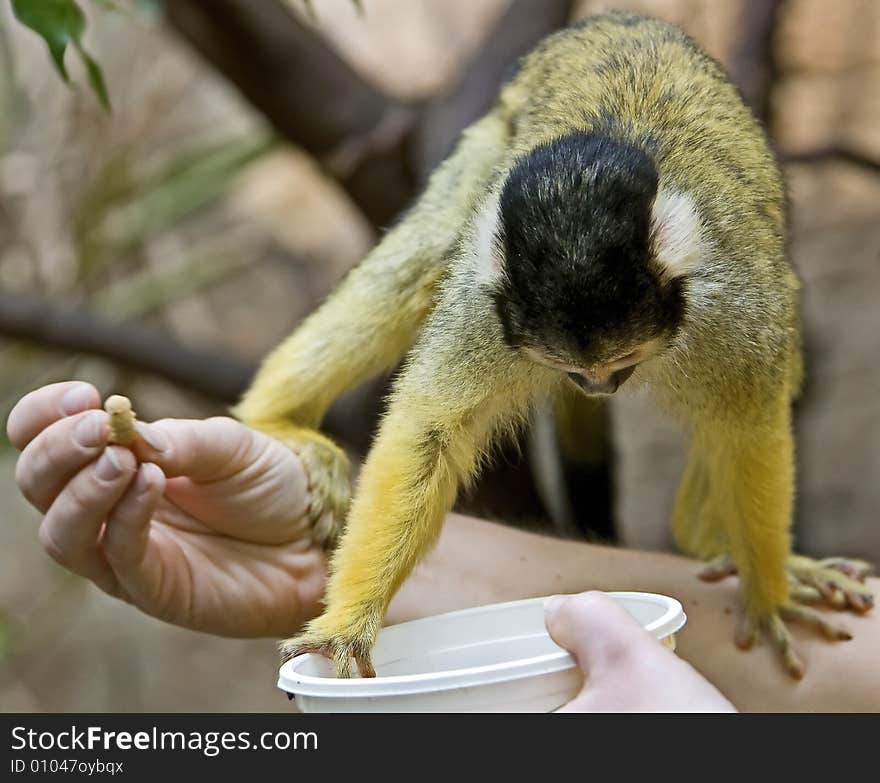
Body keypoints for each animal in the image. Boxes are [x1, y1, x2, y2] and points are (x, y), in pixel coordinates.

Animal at [234, 12, 872, 680]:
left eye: (622, 362)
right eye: (568, 366)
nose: (596, 386)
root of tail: (618, 17)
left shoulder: (731, 307)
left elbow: (748, 427)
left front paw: (770, 595)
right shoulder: (488, 307)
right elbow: (431, 433)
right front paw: (348, 623)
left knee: (783, 321)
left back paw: (704, 531)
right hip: (491, 138)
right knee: (434, 247)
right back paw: (273, 419)